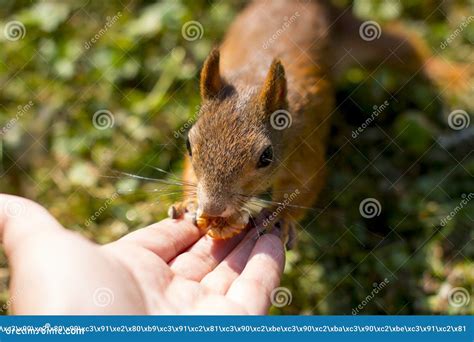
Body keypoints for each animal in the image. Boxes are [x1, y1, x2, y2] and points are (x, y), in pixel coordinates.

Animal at [167, 0, 470, 246]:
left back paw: (454, 75)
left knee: (407, 44)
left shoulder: (305, 145)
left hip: (358, 36)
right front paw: (189, 203)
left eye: (266, 156)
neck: (253, 80)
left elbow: (307, 183)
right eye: (189, 144)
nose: (213, 208)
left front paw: (280, 217)